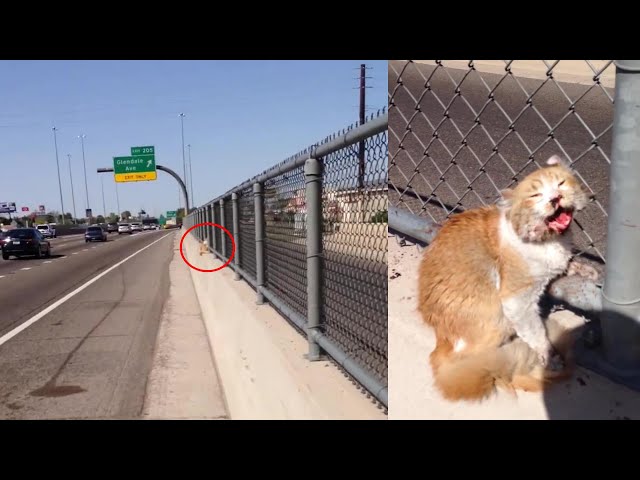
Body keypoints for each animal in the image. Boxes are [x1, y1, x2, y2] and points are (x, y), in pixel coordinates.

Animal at [420, 157, 592, 402]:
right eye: (536, 195)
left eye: (561, 183)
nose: (555, 198)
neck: (549, 240)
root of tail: (440, 338)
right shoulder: (517, 300)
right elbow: (537, 334)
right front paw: (550, 357)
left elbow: (567, 264)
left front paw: (586, 270)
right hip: (498, 320)